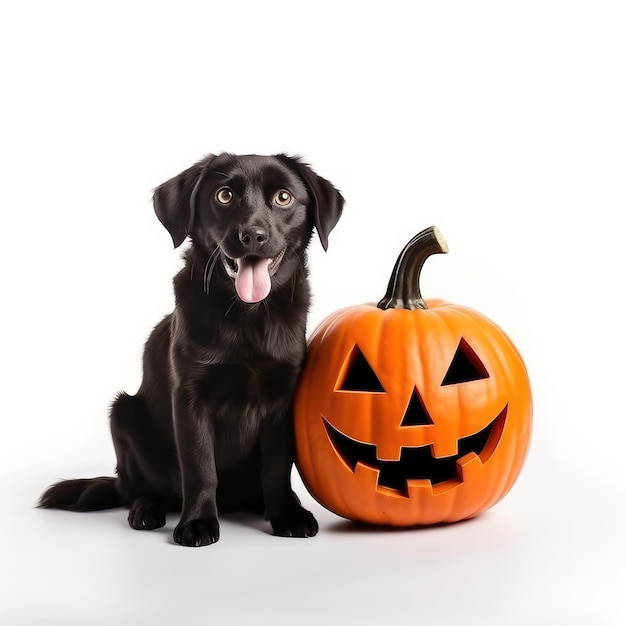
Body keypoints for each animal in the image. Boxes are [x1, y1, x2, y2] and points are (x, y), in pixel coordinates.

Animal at [39, 154, 344, 544]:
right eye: (224, 195)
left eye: (284, 197)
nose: (252, 235)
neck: (247, 316)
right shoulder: (190, 399)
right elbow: (200, 468)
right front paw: (197, 522)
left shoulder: (282, 399)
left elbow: (276, 467)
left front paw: (286, 515)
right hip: (123, 414)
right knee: (138, 488)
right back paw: (146, 510)